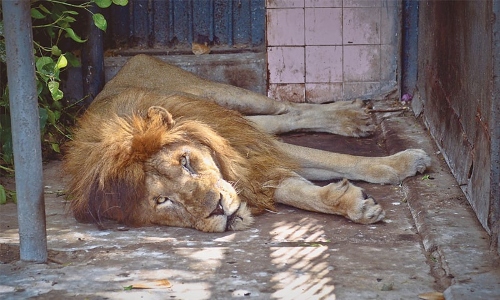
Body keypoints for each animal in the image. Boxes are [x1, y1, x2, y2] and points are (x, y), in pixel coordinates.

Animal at [64, 54, 432, 232]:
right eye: (162, 201)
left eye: (186, 161)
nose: (217, 209)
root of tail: (123, 69)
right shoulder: (255, 166)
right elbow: (302, 193)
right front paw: (354, 204)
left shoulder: (256, 151)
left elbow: (339, 160)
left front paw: (401, 163)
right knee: (279, 120)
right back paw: (352, 118)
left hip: (221, 95)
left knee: (284, 107)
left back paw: (352, 115)